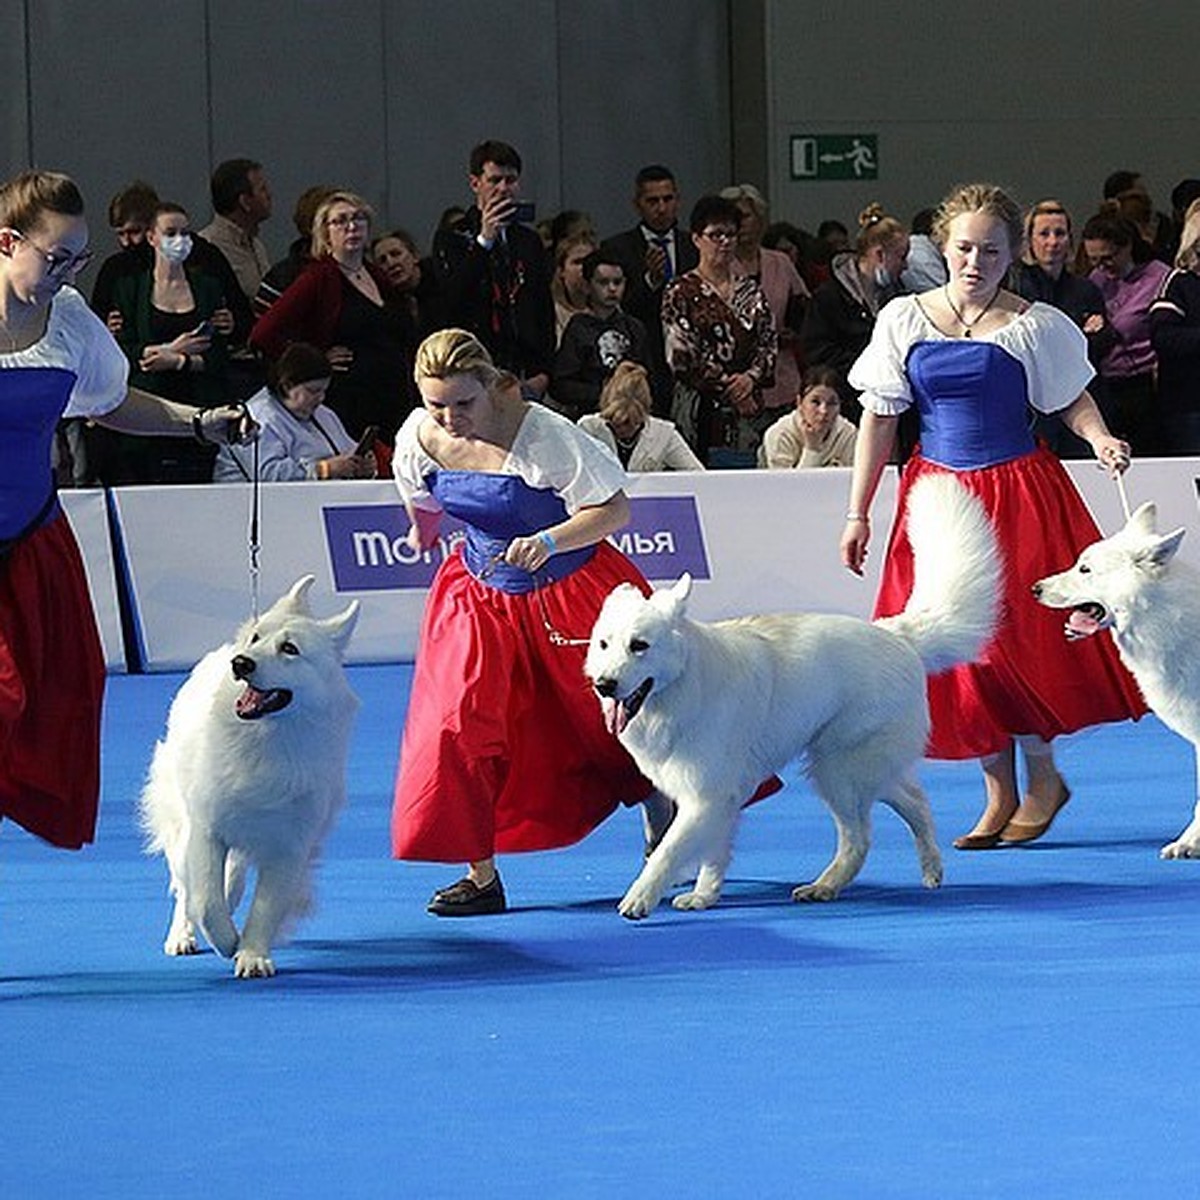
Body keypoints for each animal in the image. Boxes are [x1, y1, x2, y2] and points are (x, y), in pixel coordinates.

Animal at [138, 576, 357, 979]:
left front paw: (252, 953)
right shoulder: (206, 832)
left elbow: (264, 908)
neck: (264, 740)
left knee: (233, 881)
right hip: (182, 825)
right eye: (257, 638)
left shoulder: (289, 848)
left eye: (290, 649)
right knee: (185, 889)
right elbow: (206, 902)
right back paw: (182, 935)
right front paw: (227, 942)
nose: (240, 663)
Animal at [585, 470, 998, 916]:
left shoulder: (706, 796)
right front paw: (704, 895)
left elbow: (667, 851)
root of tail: (897, 634)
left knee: (860, 836)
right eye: (604, 645)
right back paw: (927, 870)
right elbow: (713, 854)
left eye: (639, 646)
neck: (683, 684)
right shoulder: (718, 800)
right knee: (914, 801)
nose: (604, 685)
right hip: (850, 767)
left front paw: (640, 897)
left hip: (838, 768)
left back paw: (825, 886)